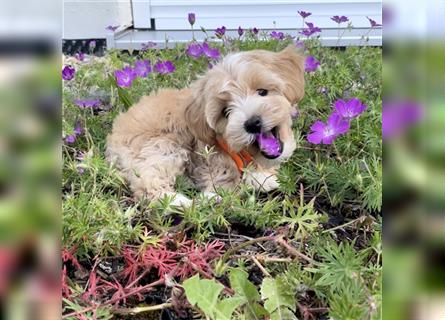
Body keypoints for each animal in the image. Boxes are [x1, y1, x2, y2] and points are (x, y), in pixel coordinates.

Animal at [106, 45, 304, 205]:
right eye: (226, 112)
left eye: (262, 92)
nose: (252, 123)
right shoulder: (210, 154)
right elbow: (223, 175)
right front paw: (218, 192)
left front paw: (262, 175)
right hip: (163, 146)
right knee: (148, 182)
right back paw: (185, 202)